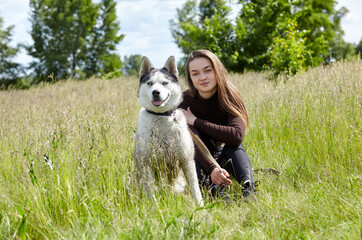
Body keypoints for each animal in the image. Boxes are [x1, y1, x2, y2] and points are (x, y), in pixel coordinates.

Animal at [135, 55, 204, 205]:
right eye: (149, 83)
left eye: (165, 83)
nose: (156, 92)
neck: (162, 116)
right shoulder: (147, 163)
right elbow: (151, 191)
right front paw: (154, 207)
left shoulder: (187, 160)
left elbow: (195, 188)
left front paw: (200, 206)